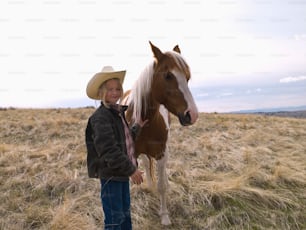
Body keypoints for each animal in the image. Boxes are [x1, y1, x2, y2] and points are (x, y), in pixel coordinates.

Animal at [122, 41, 198, 225]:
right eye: (168, 76)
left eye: (187, 77)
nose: (192, 114)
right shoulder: (131, 153)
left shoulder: (162, 153)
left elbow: (162, 186)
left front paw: (164, 215)